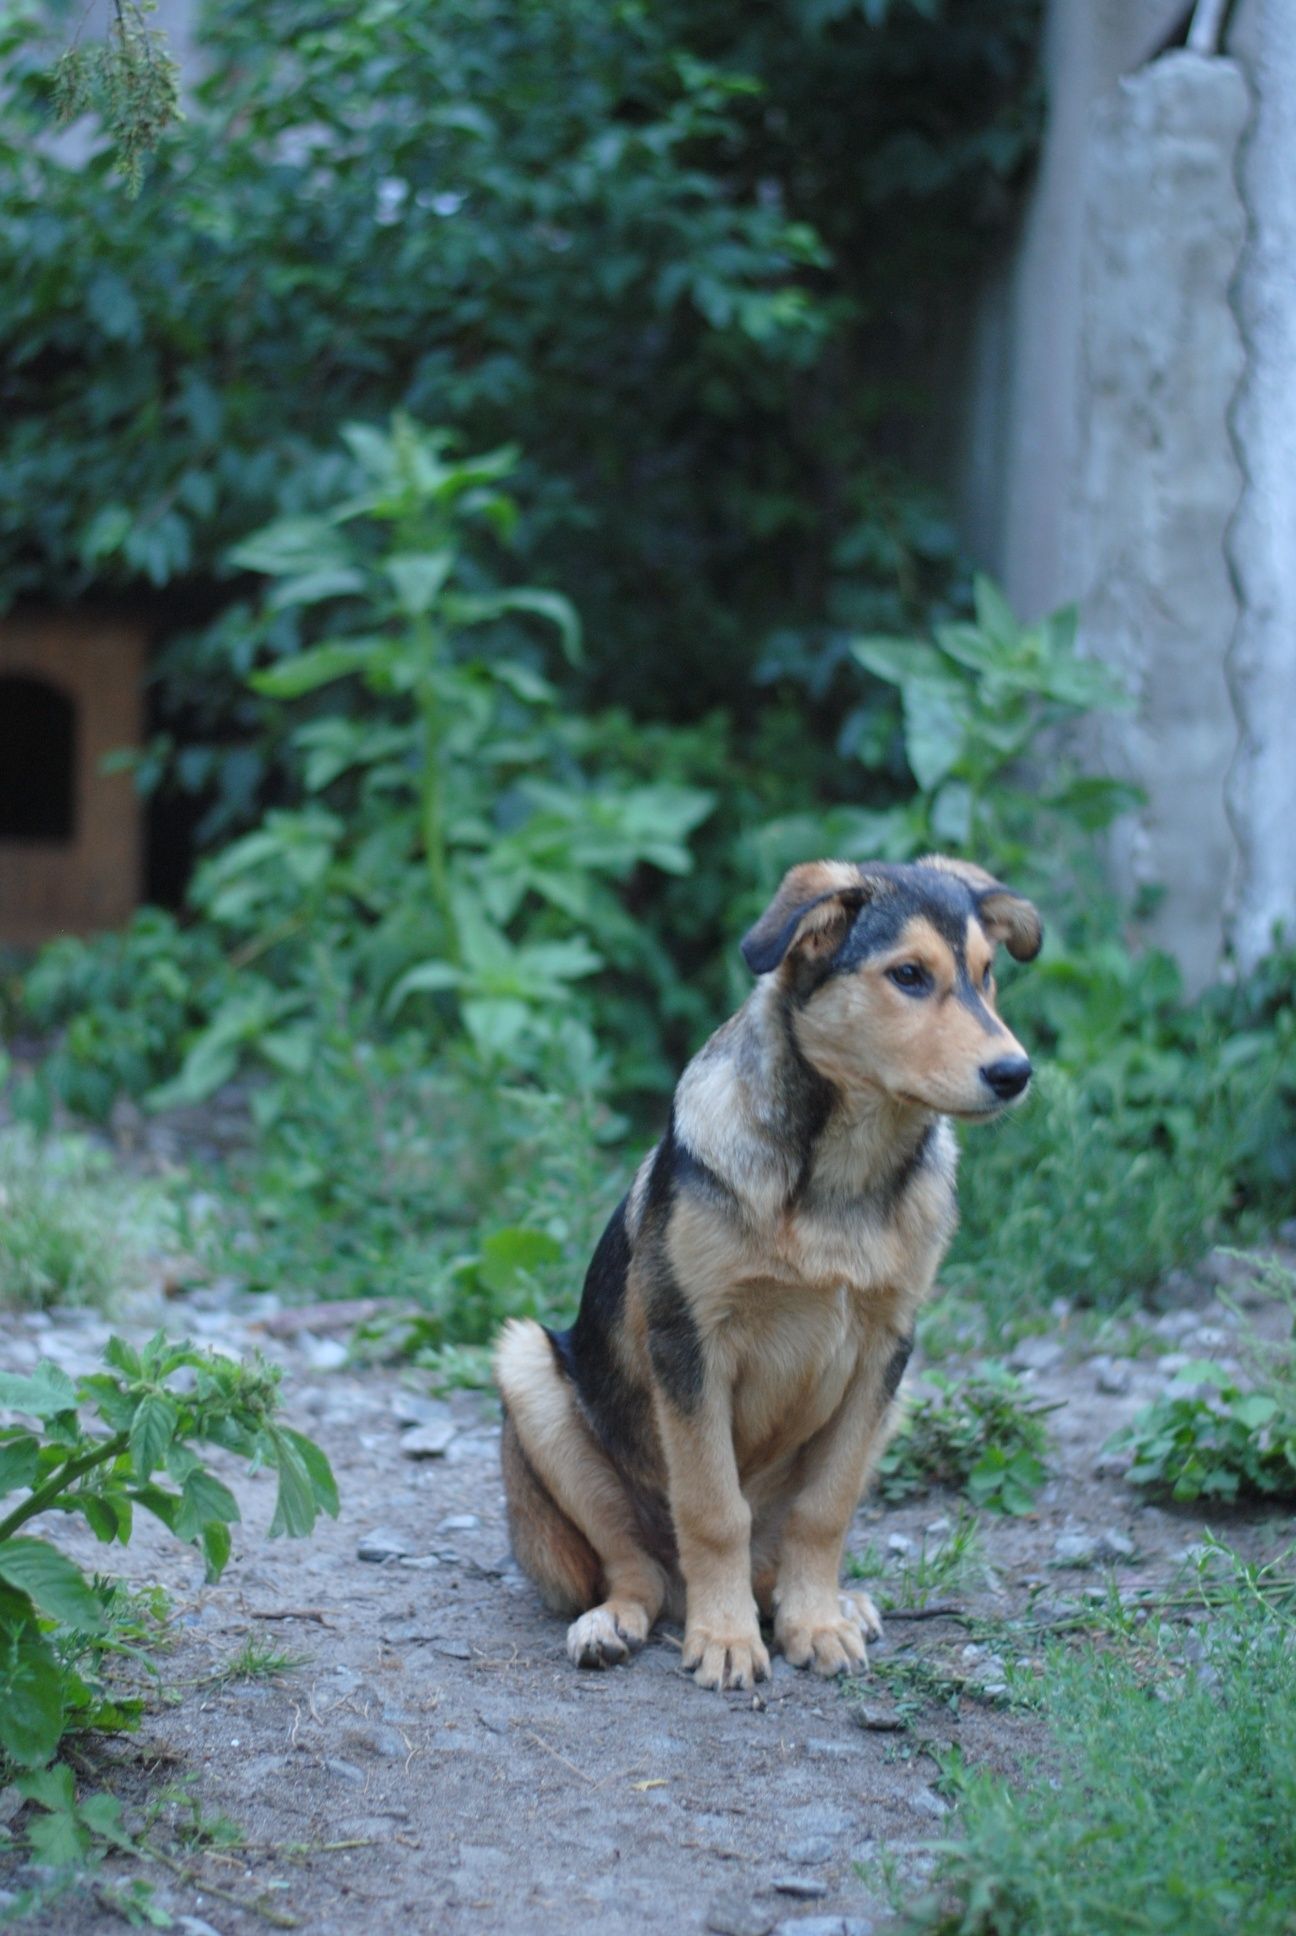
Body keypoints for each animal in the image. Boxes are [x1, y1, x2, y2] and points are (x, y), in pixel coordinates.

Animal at [495, 855, 1038, 1688]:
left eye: (987, 975)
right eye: (909, 975)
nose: (1016, 1072)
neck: (842, 1178)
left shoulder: (887, 1347)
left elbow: (826, 1508)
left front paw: (813, 1620)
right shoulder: (689, 1342)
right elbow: (715, 1508)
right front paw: (725, 1639)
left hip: (897, 1401)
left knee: (770, 1556)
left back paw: (827, 1602)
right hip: (529, 1374)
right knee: (635, 1569)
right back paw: (616, 1623)